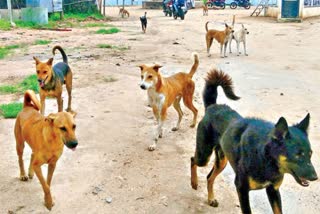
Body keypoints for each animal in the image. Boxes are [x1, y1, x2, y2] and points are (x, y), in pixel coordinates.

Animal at [190, 69, 318, 213]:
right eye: (297, 155)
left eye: (310, 154)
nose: (315, 177)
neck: (266, 158)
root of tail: (212, 107)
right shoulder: (241, 188)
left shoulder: (273, 190)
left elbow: (278, 210)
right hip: (204, 156)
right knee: (193, 160)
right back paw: (194, 182)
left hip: (221, 161)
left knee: (209, 177)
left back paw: (211, 198)